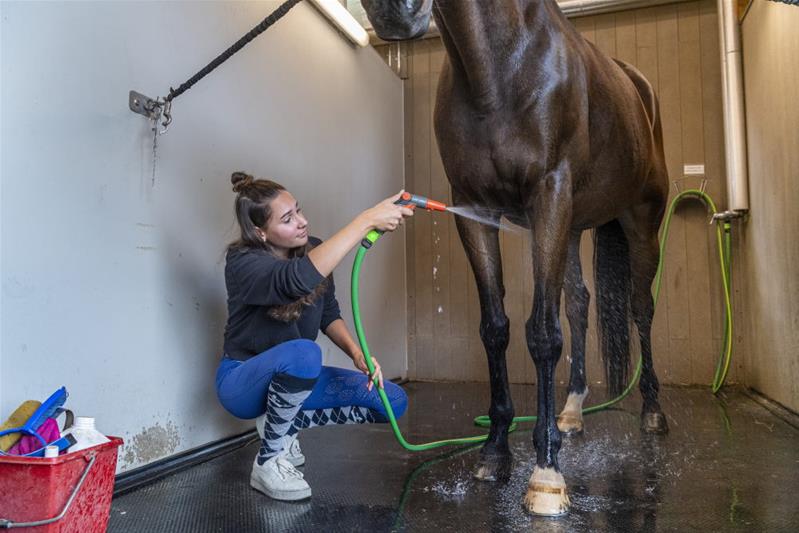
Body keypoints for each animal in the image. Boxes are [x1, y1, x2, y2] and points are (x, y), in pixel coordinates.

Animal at [360, 0, 668, 516]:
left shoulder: (549, 197)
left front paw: (546, 473)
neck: (499, 70)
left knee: (640, 310)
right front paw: (495, 451)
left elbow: (542, 334)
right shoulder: (474, 210)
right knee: (580, 304)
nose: (391, 13)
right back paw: (571, 412)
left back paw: (653, 412)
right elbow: (496, 328)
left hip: (639, 221)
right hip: (571, 230)